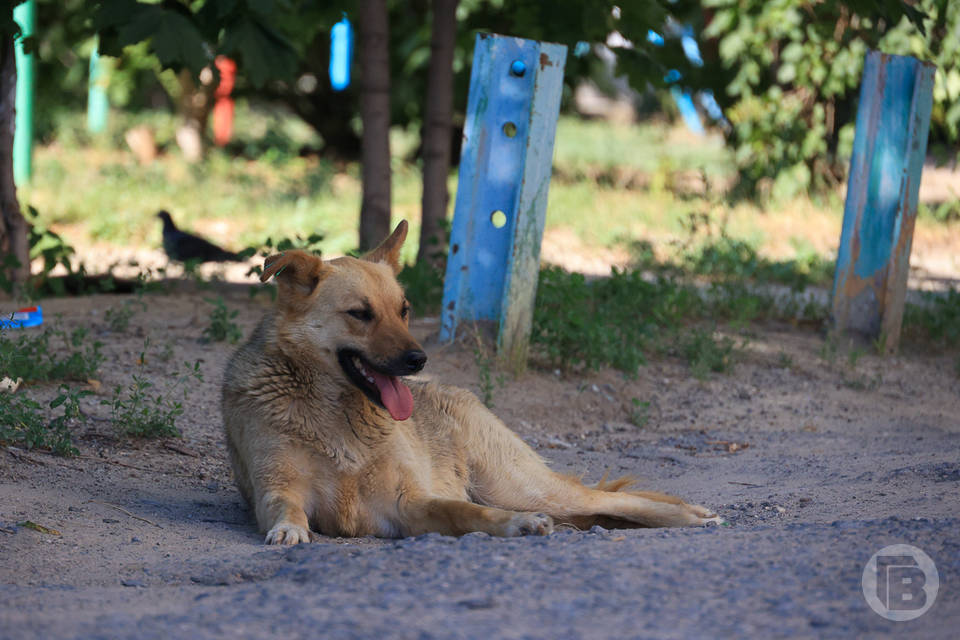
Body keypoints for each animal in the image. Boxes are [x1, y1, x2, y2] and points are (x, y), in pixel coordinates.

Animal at [223, 222, 720, 544]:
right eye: (360, 314)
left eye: (404, 310)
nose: (419, 359)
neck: (336, 413)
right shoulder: (277, 489)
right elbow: (285, 508)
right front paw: (289, 529)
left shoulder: (409, 503)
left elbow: (465, 511)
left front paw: (517, 525)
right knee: (597, 507)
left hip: (523, 487)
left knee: (612, 500)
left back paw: (688, 515)